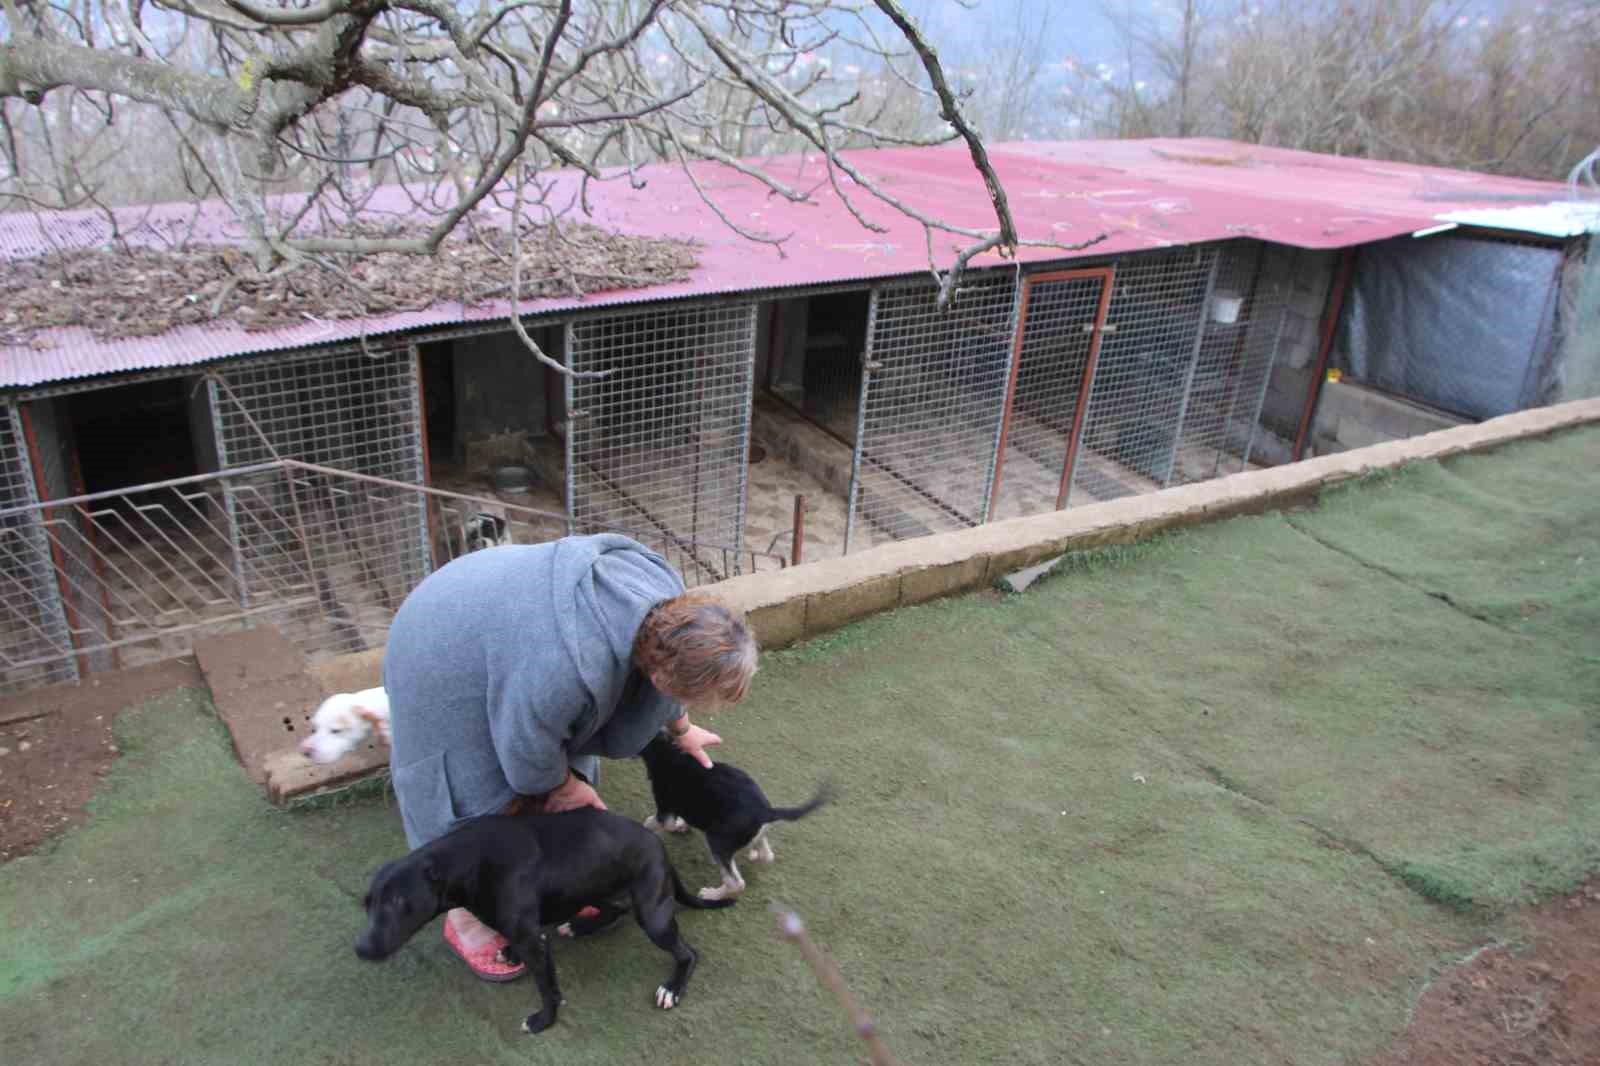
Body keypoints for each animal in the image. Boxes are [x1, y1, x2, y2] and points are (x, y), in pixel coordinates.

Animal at [355, 806, 732, 1030]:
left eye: (399, 901)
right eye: (367, 903)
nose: (361, 948)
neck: (466, 861)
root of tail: (658, 845)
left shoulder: (535, 942)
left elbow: (546, 988)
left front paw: (543, 1021)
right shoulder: (527, 933)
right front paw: (509, 952)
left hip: (652, 916)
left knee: (687, 953)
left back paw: (672, 988)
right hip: (594, 885)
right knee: (615, 909)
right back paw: (580, 925)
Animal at [640, 729, 838, 896]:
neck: (669, 751)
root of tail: (766, 811)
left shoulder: (665, 811)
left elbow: (653, 823)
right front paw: (682, 825)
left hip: (718, 843)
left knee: (736, 883)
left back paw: (712, 894)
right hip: (750, 836)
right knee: (767, 855)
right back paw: (755, 854)